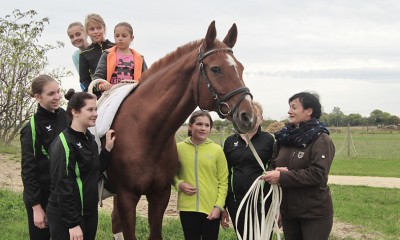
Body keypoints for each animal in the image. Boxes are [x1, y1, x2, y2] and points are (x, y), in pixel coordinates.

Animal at [106, 21, 256, 239]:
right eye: (216, 69)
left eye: (241, 68)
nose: (249, 117)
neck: (146, 134)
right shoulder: (127, 195)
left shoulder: (160, 195)